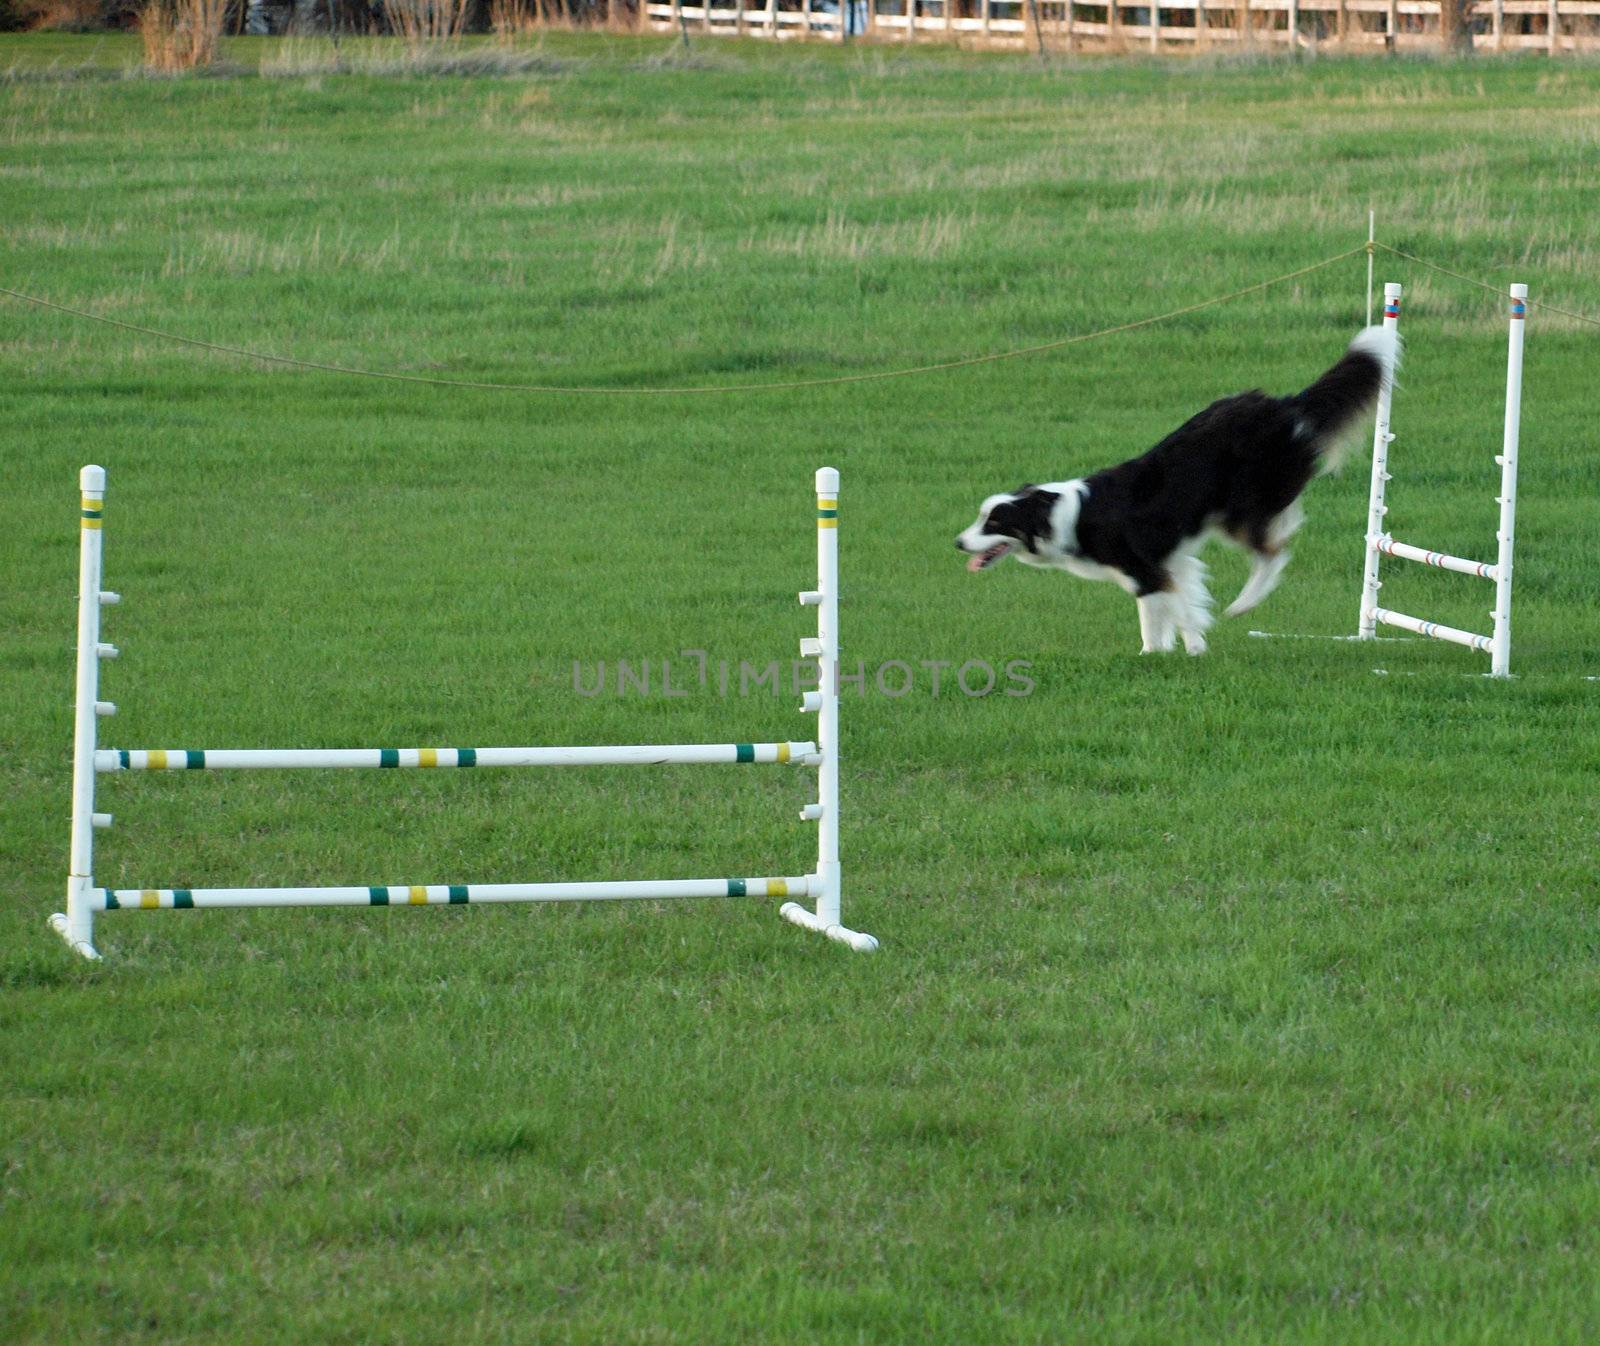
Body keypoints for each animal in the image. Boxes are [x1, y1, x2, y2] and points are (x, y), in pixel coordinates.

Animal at [953, 328, 1395, 659]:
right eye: (982, 517)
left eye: (993, 522)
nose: (958, 543)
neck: (1059, 515)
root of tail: (1286, 407)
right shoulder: (1174, 561)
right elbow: (1184, 607)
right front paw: (1194, 647)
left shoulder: (1144, 569)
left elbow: (1154, 617)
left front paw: (1154, 656)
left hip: (1242, 506)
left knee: (1274, 551)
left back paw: (1245, 603)